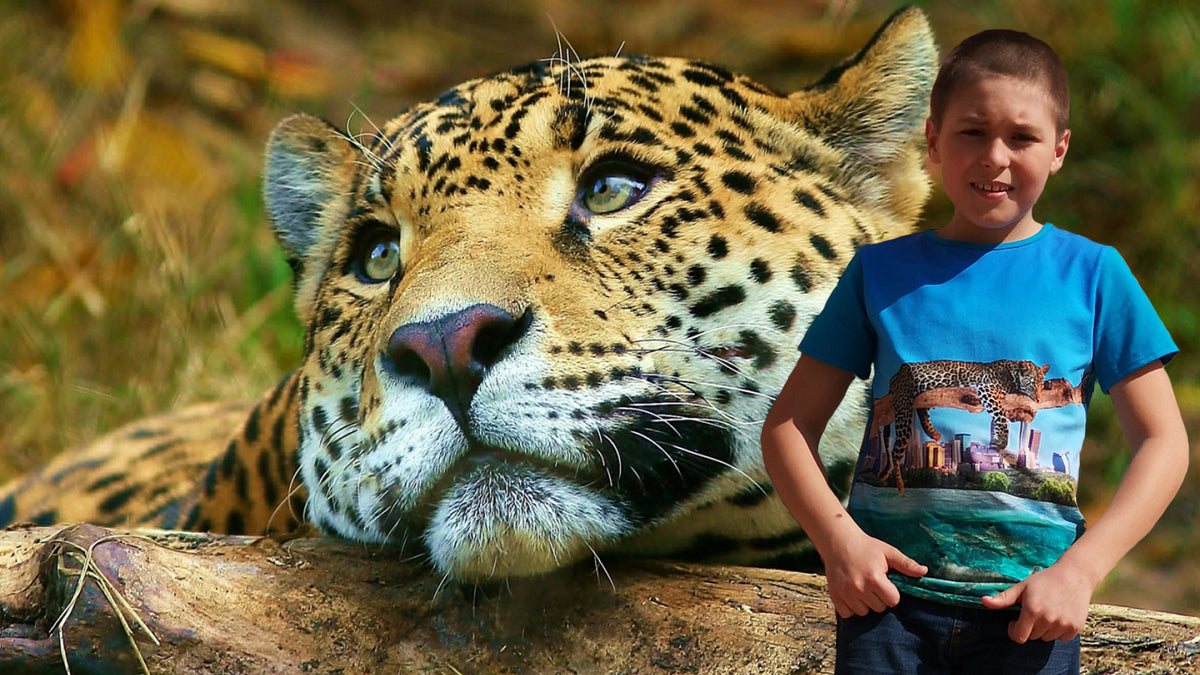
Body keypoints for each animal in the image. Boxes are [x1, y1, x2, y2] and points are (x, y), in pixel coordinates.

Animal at [882, 358, 1051, 490]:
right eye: (1032, 384)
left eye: (1041, 385)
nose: (1038, 399)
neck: (1012, 373)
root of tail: (895, 376)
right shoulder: (987, 389)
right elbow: (1001, 416)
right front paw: (1001, 440)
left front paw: (997, 440)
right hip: (904, 404)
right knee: (896, 450)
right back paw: (899, 484)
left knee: (922, 410)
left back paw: (933, 433)